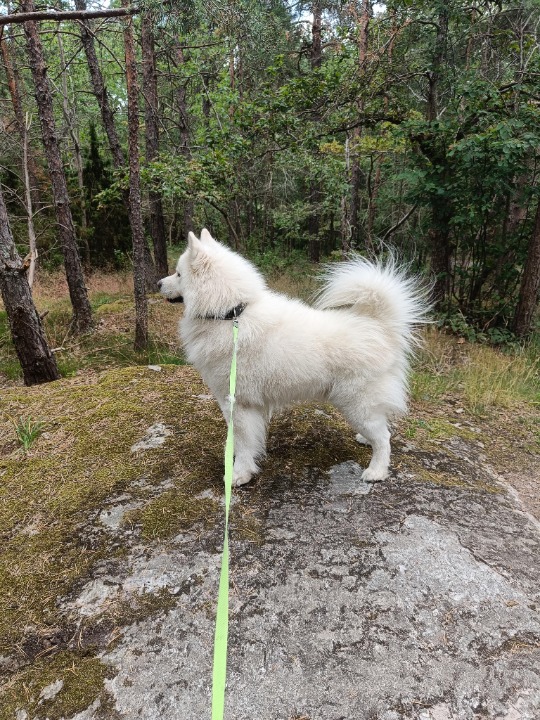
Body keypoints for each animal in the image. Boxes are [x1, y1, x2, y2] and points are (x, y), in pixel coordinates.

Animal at [158, 229, 428, 490]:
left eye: (179, 274)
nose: (158, 283)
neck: (232, 314)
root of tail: (378, 325)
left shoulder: (239, 402)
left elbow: (243, 443)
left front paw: (239, 474)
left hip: (356, 403)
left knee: (384, 438)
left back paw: (376, 471)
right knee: (381, 427)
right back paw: (365, 440)